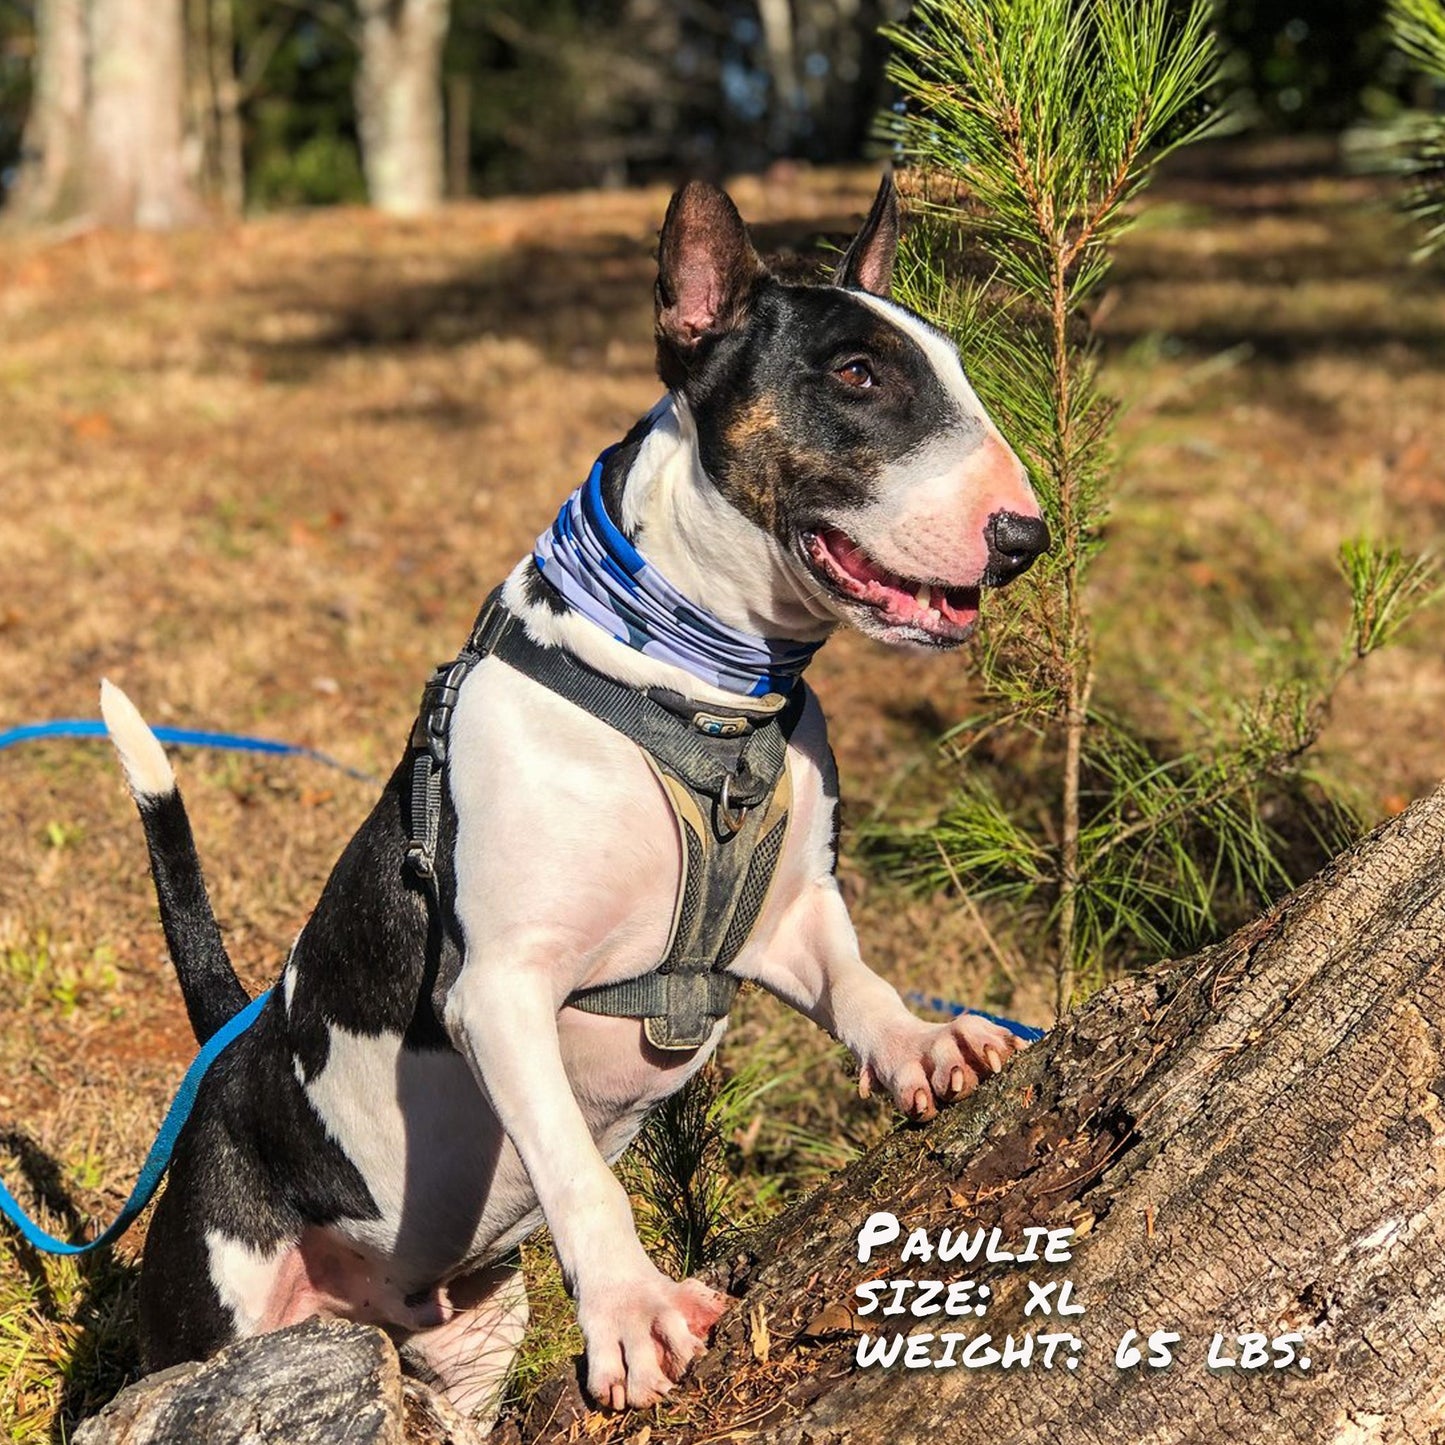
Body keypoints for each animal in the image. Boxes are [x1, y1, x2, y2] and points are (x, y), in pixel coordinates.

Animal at [104, 177, 1051, 1421]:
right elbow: (572, 1165)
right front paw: (633, 1310)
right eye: (853, 374)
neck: (704, 698)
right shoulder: (499, 990)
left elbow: (855, 978)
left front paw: (924, 1045)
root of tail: (231, 1044)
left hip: (465, 1330)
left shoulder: (789, 912)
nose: (1024, 536)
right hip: (212, 1304)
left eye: (953, 364)